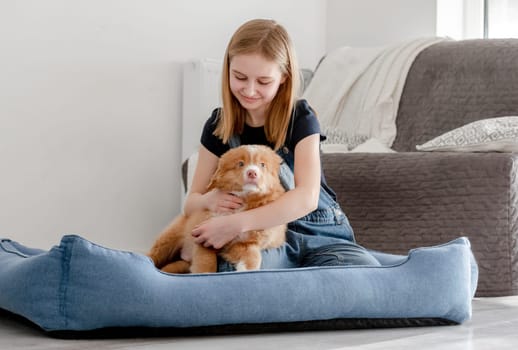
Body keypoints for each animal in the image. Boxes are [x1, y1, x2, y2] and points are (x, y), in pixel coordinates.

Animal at [149, 145, 288, 274]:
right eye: (240, 164)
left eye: (262, 165)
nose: (252, 173)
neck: (242, 201)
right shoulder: (203, 235)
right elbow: (207, 261)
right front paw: (205, 275)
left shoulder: (242, 242)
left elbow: (253, 255)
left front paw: (246, 270)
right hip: (168, 239)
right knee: (154, 254)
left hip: (181, 262)